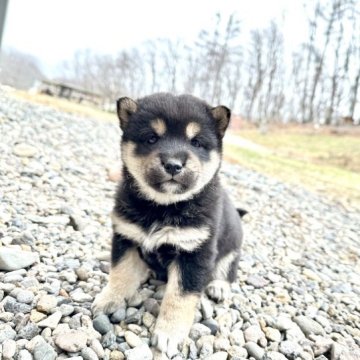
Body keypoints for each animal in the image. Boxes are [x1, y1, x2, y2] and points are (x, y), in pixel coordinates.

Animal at [92, 93, 245, 358]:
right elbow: (120, 273)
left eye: (196, 142)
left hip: (232, 245)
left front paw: (169, 334)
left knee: (227, 268)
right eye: (152, 138)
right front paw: (109, 299)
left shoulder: (195, 253)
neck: (164, 207)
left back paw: (219, 287)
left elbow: (179, 298)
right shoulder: (126, 237)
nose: (173, 165)